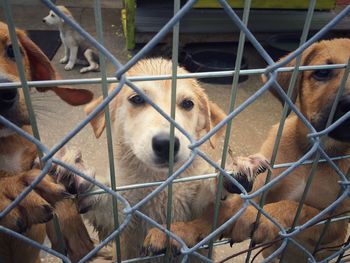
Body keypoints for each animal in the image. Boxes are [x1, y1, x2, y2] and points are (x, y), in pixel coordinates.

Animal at [80, 57, 270, 262]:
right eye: (136, 99)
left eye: (187, 104)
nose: (166, 144)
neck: (161, 181)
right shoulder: (123, 217)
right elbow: (107, 208)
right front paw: (86, 185)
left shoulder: (194, 208)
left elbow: (207, 199)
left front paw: (232, 171)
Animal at [142, 38, 350, 262]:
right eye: (322, 73)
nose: (346, 104)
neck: (315, 151)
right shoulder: (257, 185)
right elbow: (219, 214)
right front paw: (179, 231)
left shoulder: (335, 223)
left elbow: (299, 207)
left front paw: (259, 219)